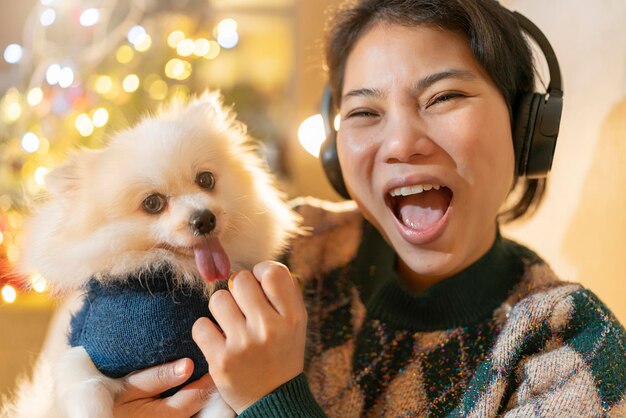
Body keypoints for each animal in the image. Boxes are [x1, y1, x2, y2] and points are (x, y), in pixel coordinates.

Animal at [4, 92, 302, 418]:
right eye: (152, 203)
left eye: (206, 180)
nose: (204, 219)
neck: (168, 278)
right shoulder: (85, 348)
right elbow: (84, 380)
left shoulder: (210, 375)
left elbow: (220, 407)